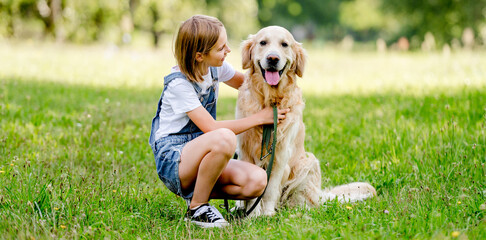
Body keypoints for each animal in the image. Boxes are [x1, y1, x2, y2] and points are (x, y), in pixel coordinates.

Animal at [235, 25, 376, 216]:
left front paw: (267, 215)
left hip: (308, 162)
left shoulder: (281, 153)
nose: (273, 58)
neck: (270, 99)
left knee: (302, 202)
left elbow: (270, 189)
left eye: (284, 44)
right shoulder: (244, 150)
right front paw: (252, 214)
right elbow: (252, 191)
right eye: (262, 42)